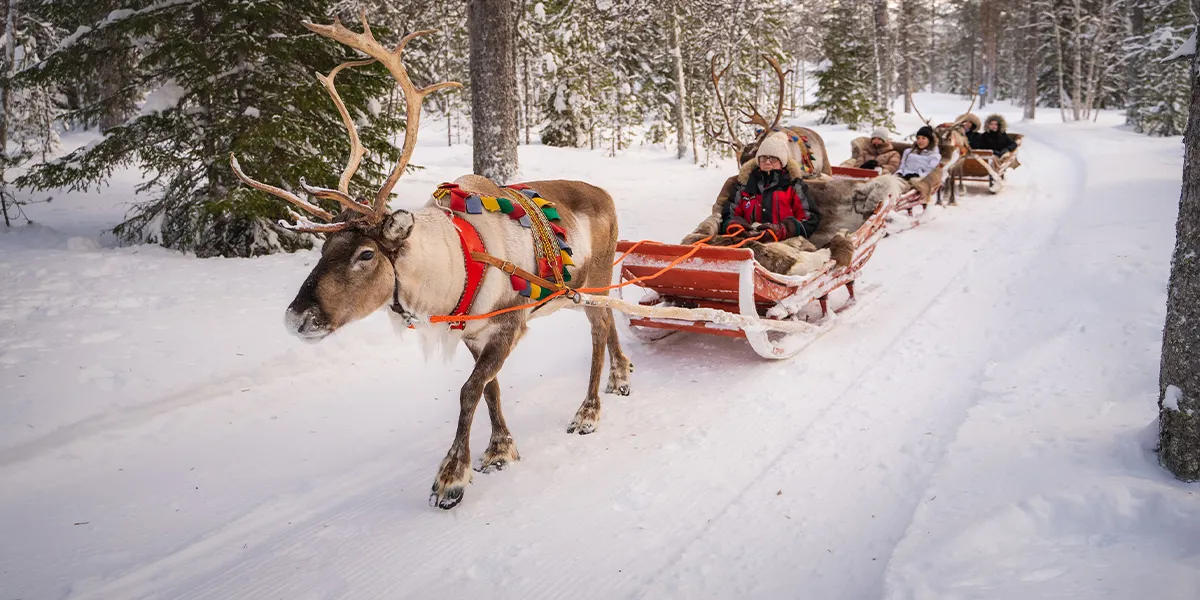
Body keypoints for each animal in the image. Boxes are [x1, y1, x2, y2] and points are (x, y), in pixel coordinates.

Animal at [229, 14, 633, 510]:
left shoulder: (509, 325)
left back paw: (589, 411)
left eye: (366, 254)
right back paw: (621, 375)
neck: (453, 266)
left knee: (598, 333)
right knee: (611, 322)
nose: (297, 317)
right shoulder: (473, 333)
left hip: (592, 283)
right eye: (323, 250)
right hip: (587, 289)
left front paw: (451, 477)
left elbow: (468, 391)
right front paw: (500, 449)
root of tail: (605, 194)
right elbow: (490, 389)